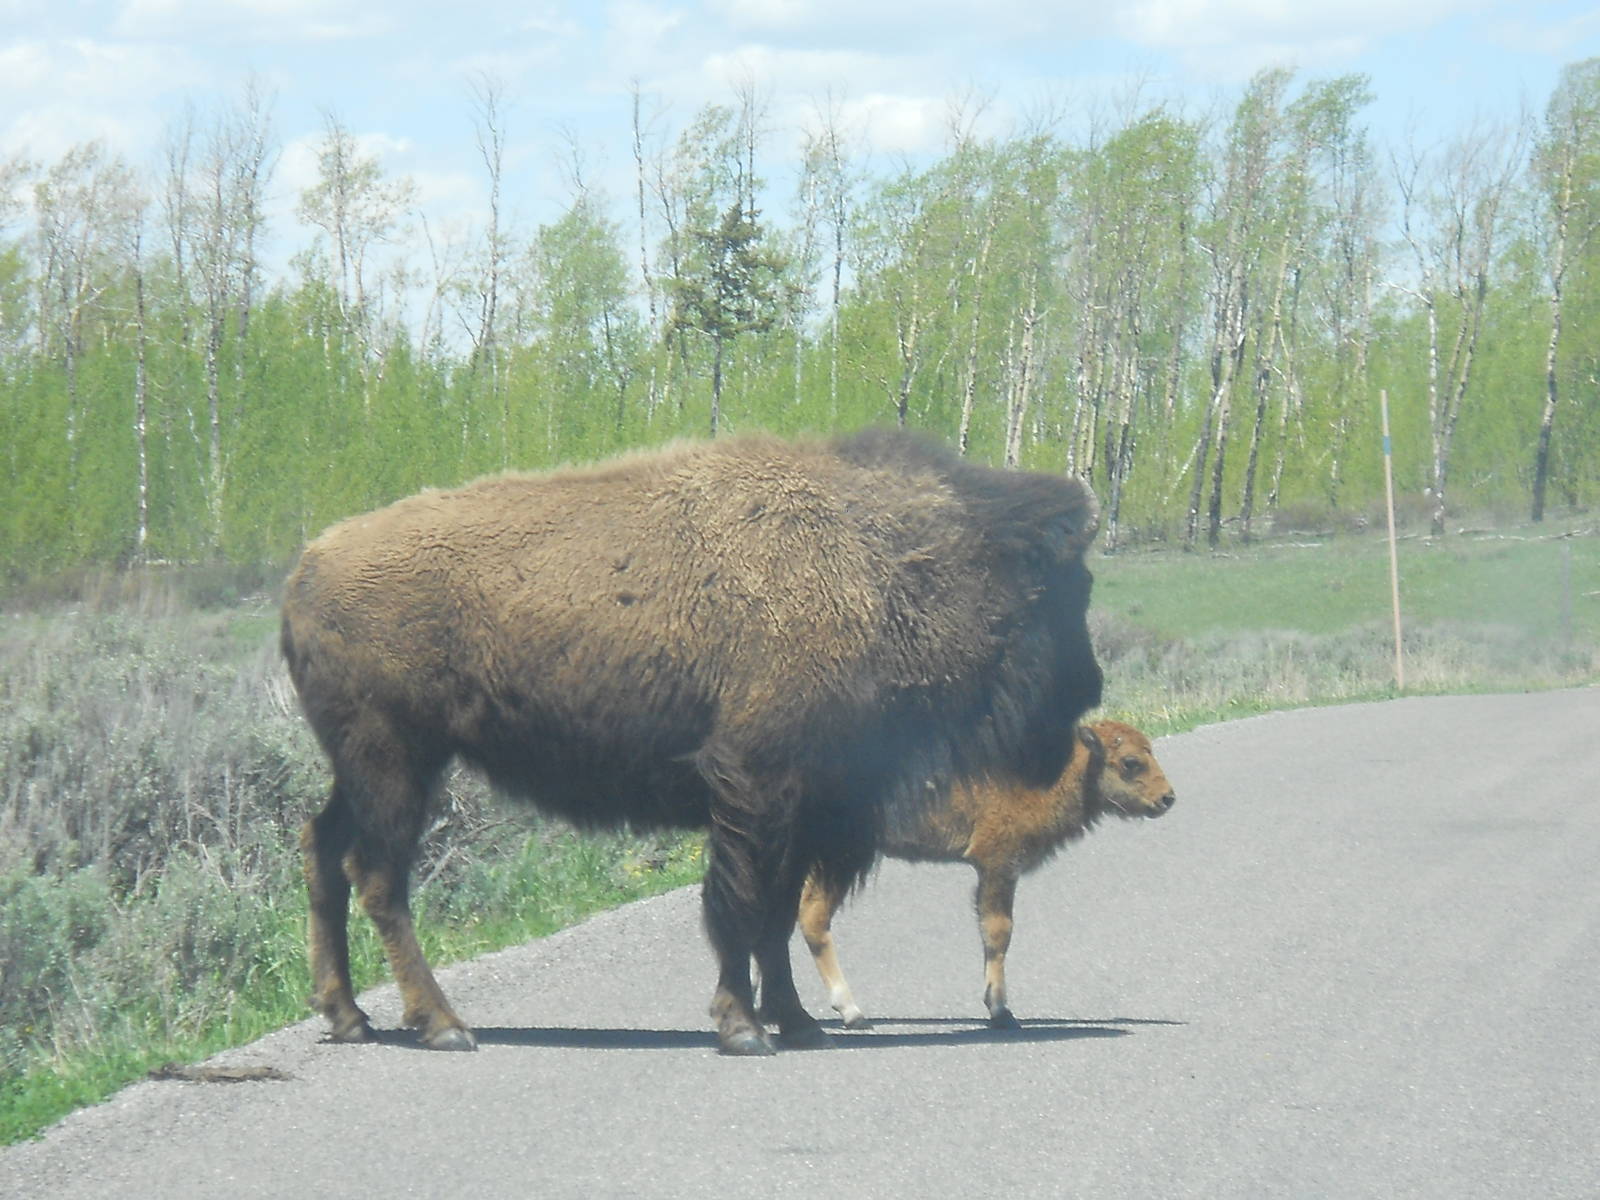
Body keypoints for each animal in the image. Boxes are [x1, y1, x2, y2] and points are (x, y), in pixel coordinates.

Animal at [279, 428, 1102, 1056]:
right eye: (1070, 589)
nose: (1090, 687)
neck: (882, 563)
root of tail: (305, 570)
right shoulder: (755, 787)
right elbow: (739, 905)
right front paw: (743, 1028)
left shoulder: (802, 807)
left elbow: (775, 914)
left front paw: (797, 1024)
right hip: (395, 761)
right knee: (378, 877)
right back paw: (444, 1025)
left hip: (366, 768)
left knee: (322, 849)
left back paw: (350, 1017)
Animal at [790, 720, 1174, 1030]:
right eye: (1130, 762)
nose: (1167, 798)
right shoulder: (998, 864)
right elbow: (998, 931)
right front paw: (1001, 1012)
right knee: (814, 918)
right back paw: (852, 1012)